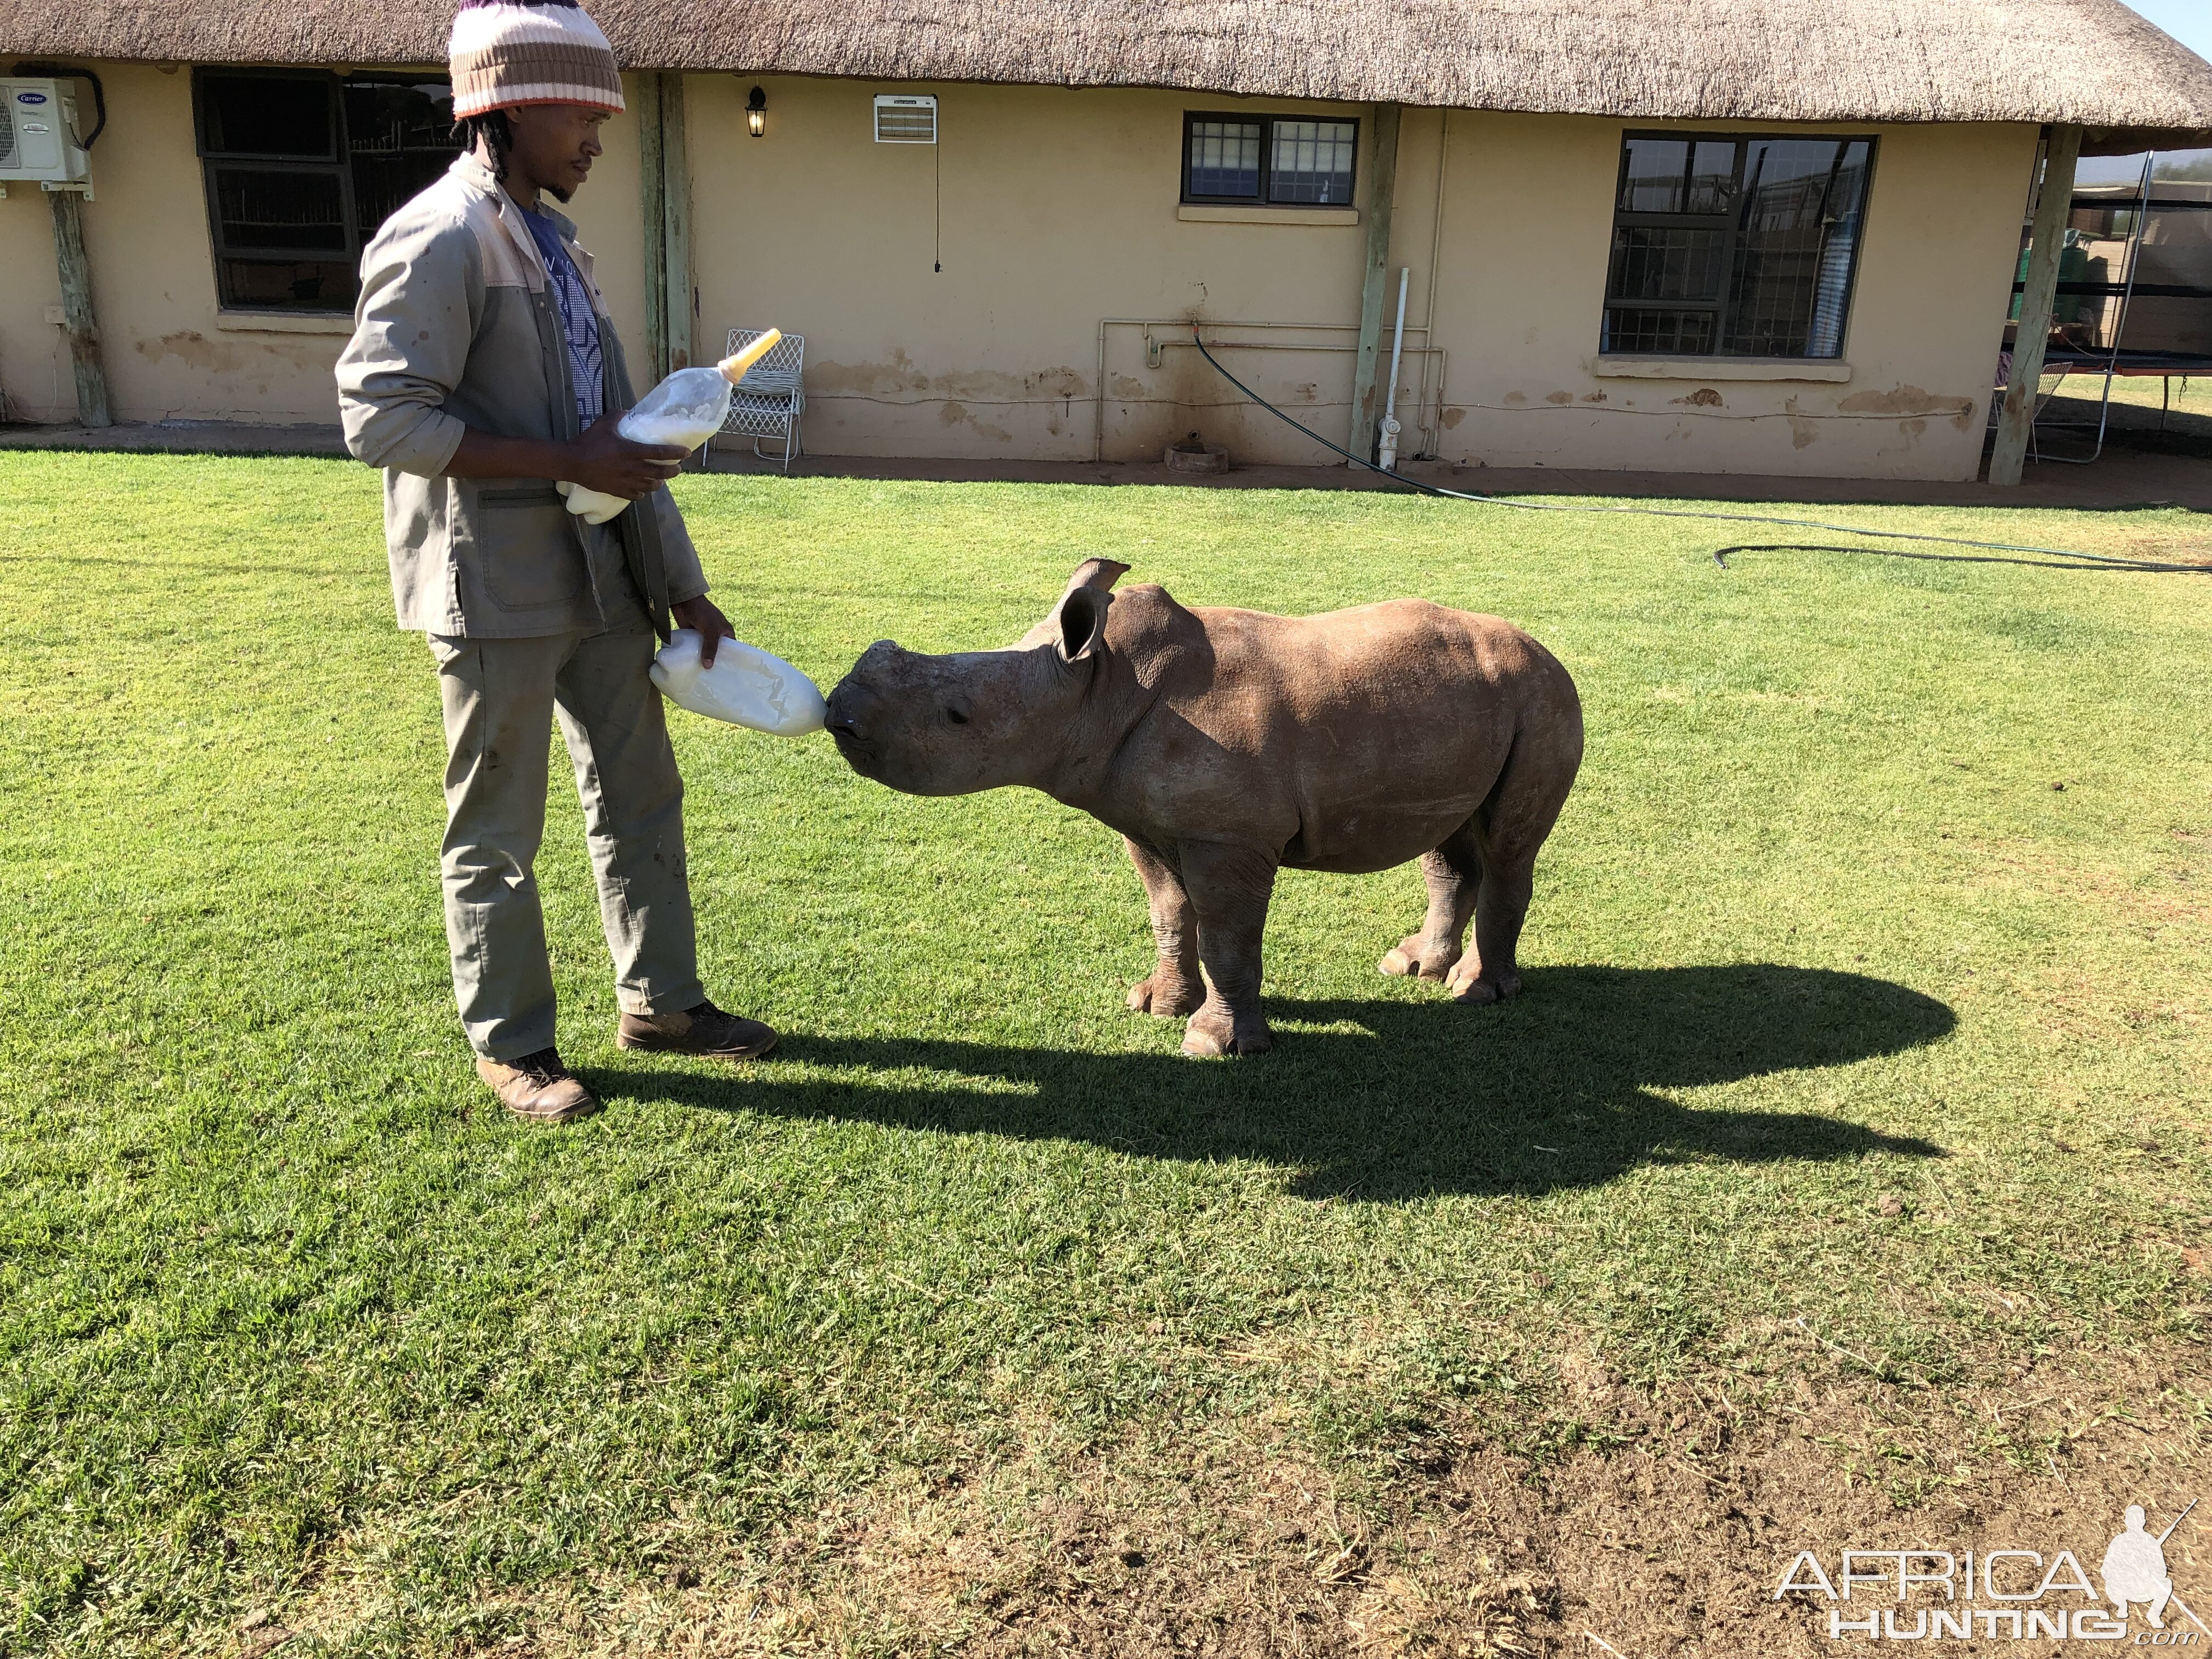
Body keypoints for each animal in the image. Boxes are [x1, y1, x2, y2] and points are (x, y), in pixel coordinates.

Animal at [822, 560, 1583, 1053]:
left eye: (957, 717)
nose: (839, 715)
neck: (1099, 687)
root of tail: (1546, 648)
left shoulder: (1230, 835)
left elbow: (1225, 933)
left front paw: (1215, 1045)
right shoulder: (1147, 820)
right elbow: (1169, 912)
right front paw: (1157, 1005)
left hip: (1542, 698)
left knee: (1509, 846)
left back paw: (1474, 992)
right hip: (1471, 703)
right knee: (1451, 843)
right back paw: (1411, 968)